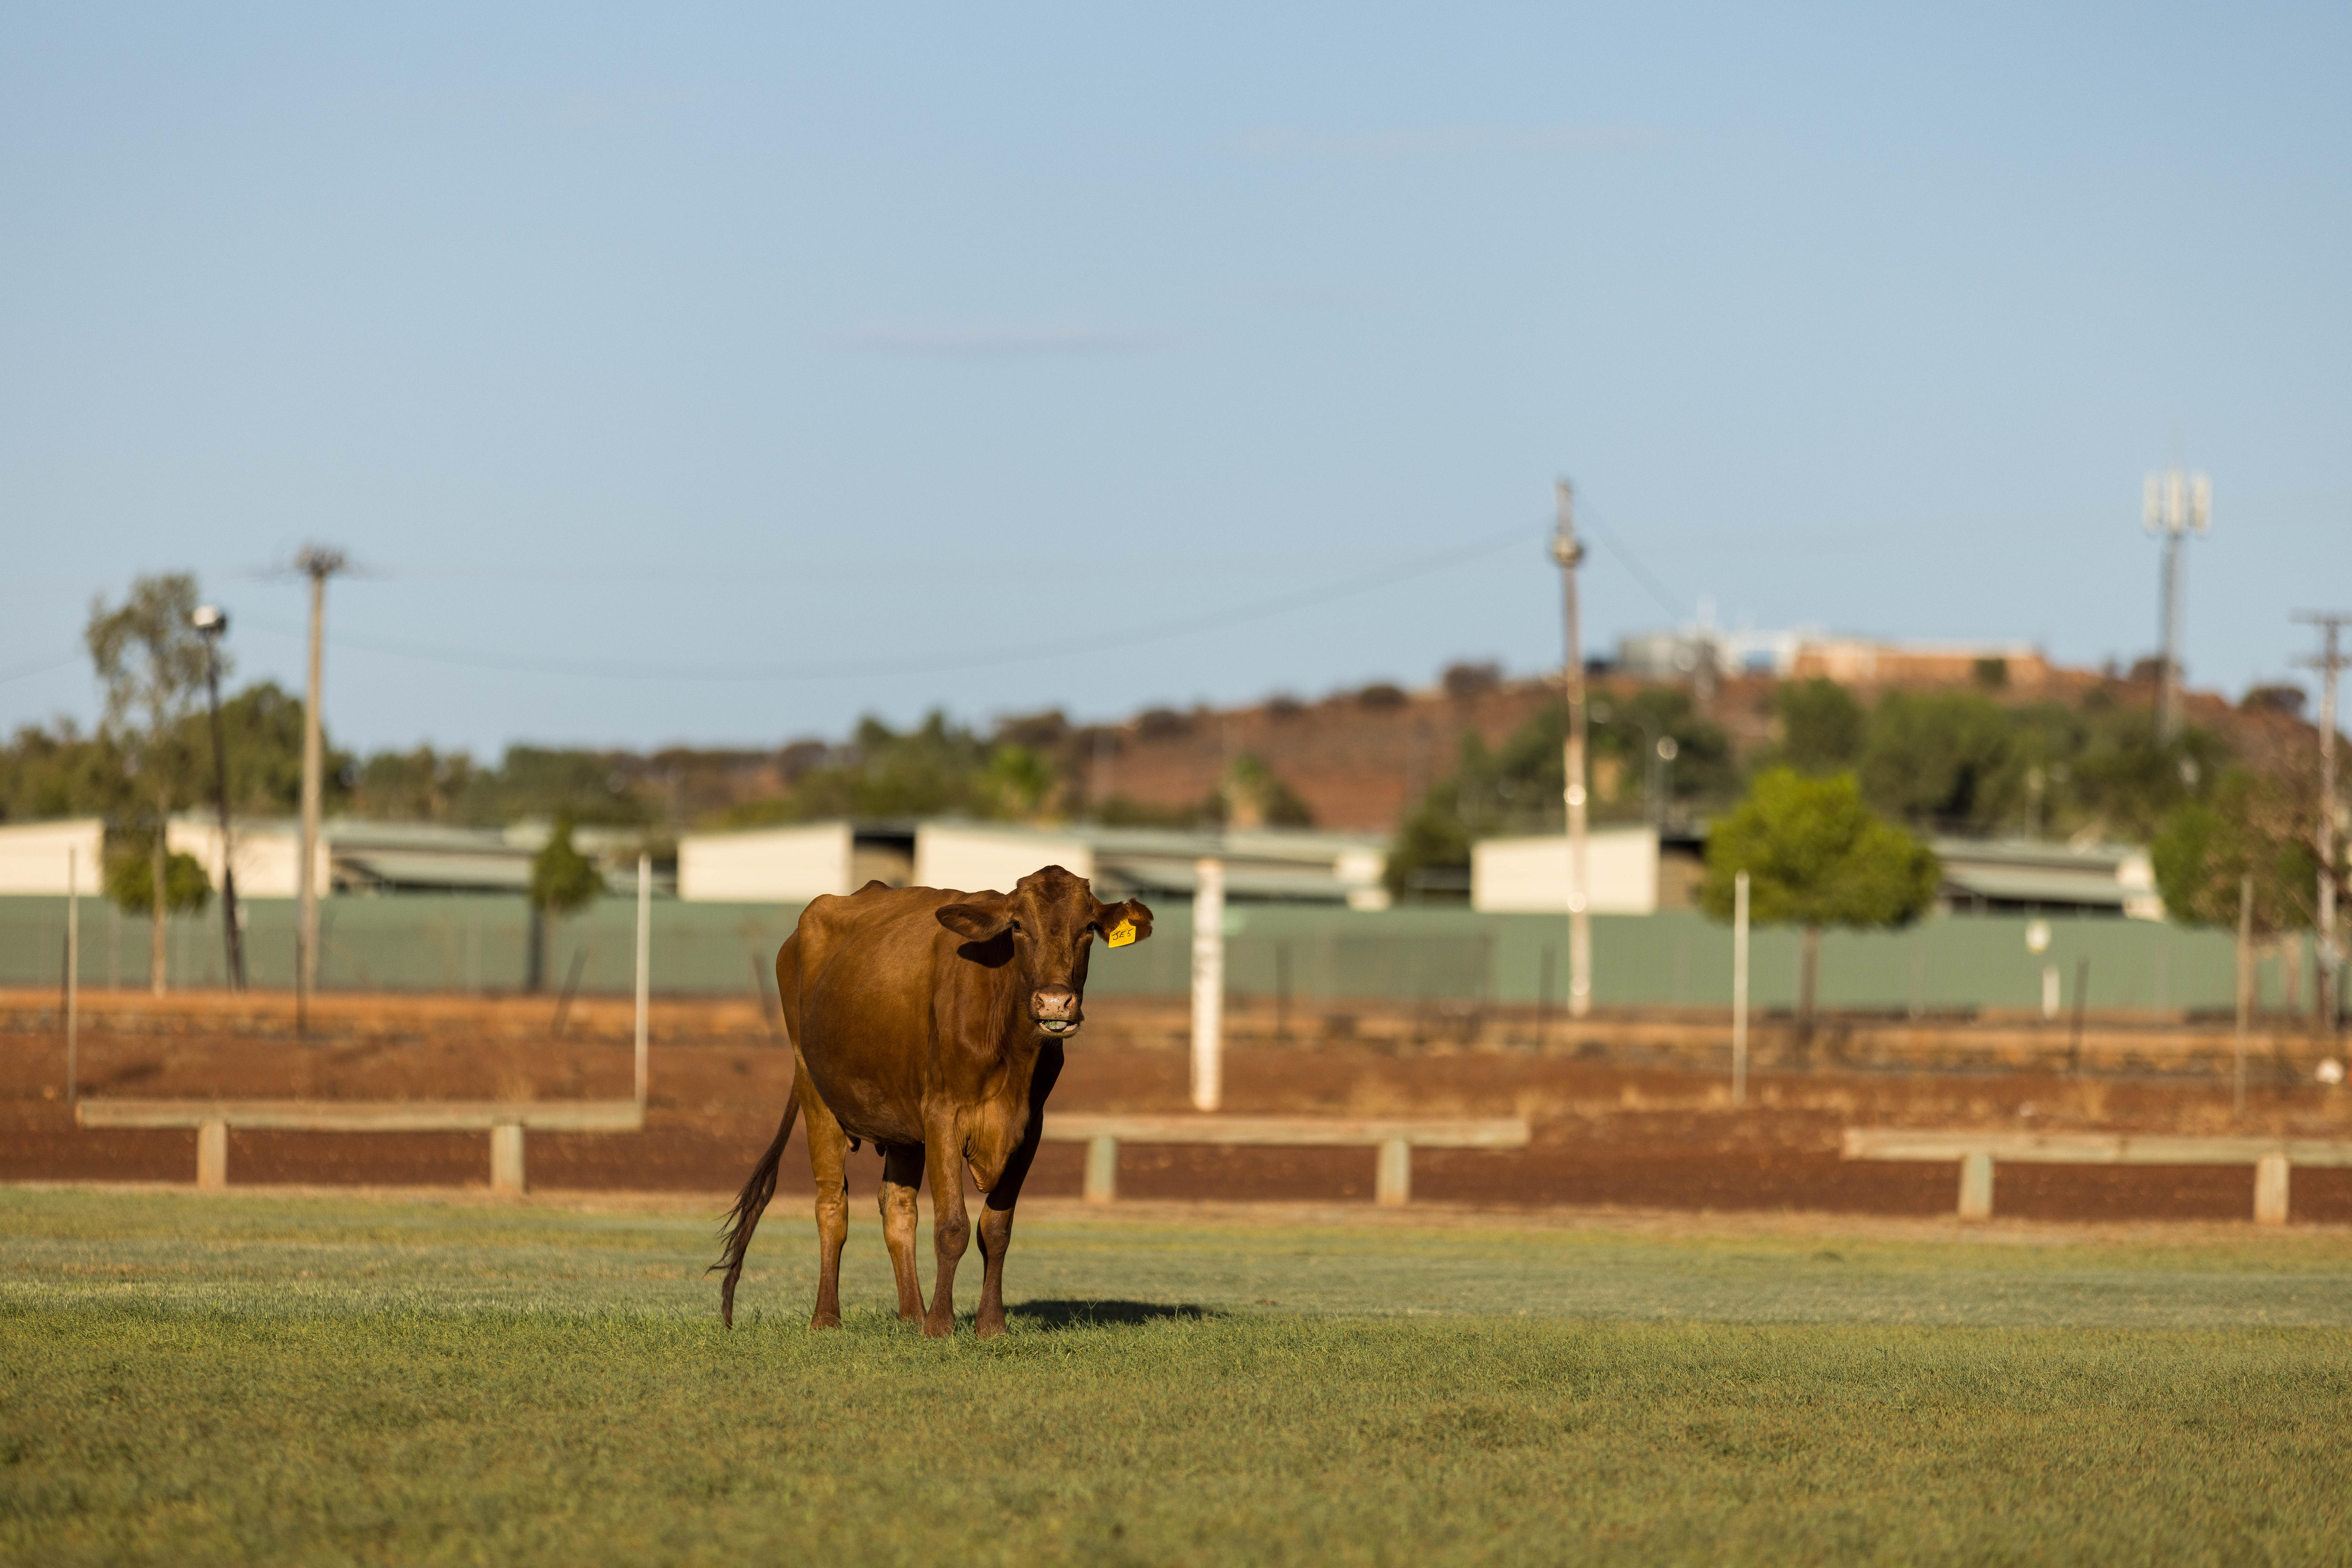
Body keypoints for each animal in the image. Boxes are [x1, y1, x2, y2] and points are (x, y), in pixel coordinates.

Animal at [711, 864, 1153, 1338]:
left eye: (1088, 928)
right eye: (1018, 926)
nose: (1055, 1003)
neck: (1013, 1052)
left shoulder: (1029, 1128)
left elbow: (996, 1230)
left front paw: (990, 1325)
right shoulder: (943, 1115)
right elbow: (952, 1226)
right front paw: (941, 1325)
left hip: (900, 1121)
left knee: (898, 1209)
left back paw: (911, 1314)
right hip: (815, 1093)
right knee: (832, 1206)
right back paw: (828, 1317)